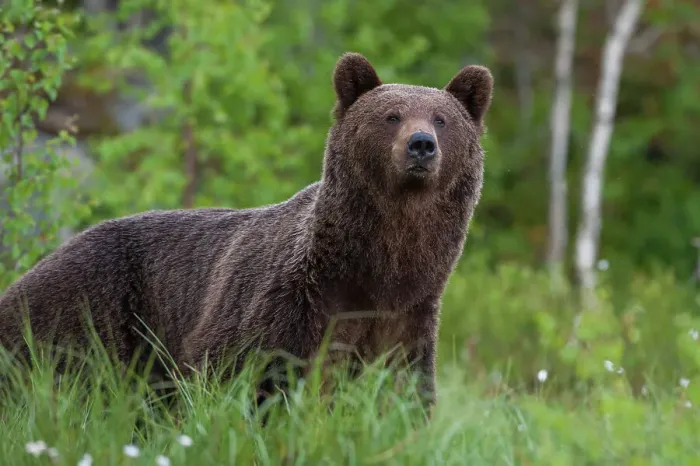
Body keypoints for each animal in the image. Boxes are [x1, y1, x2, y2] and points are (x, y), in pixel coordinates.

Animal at [0, 52, 493, 410]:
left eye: (442, 119)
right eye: (391, 115)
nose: (421, 145)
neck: (377, 271)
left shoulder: (406, 319)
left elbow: (400, 393)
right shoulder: (282, 304)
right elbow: (235, 376)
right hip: (90, 310)